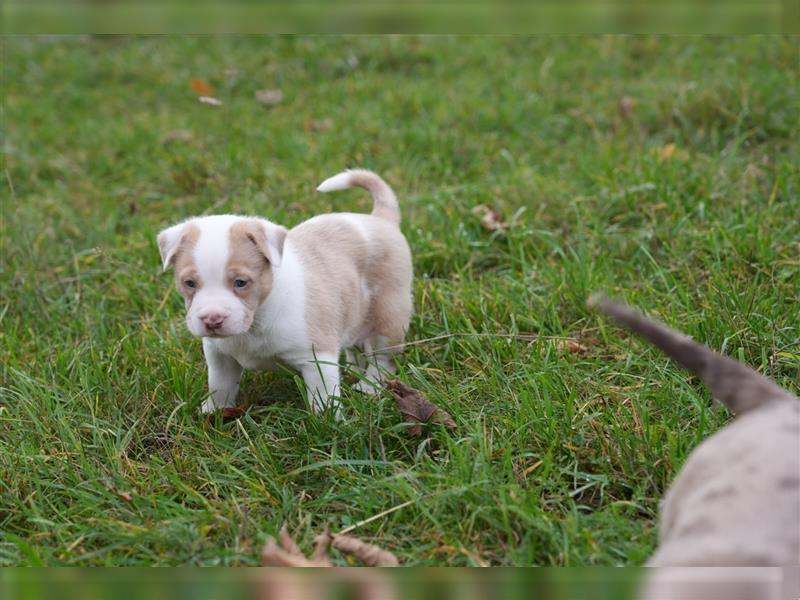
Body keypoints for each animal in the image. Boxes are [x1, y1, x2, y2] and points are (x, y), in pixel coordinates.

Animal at [160, 168, 416, 412]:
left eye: (241, 282)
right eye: (189, 283)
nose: (212, 319)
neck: (256, 321)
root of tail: (380, 219)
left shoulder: (318, 358)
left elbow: (323, 398)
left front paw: (327, 421)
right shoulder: (220, 356)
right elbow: (220, 385)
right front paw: (213, 412)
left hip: (388, 318)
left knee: (382, 359)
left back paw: (369, 386)